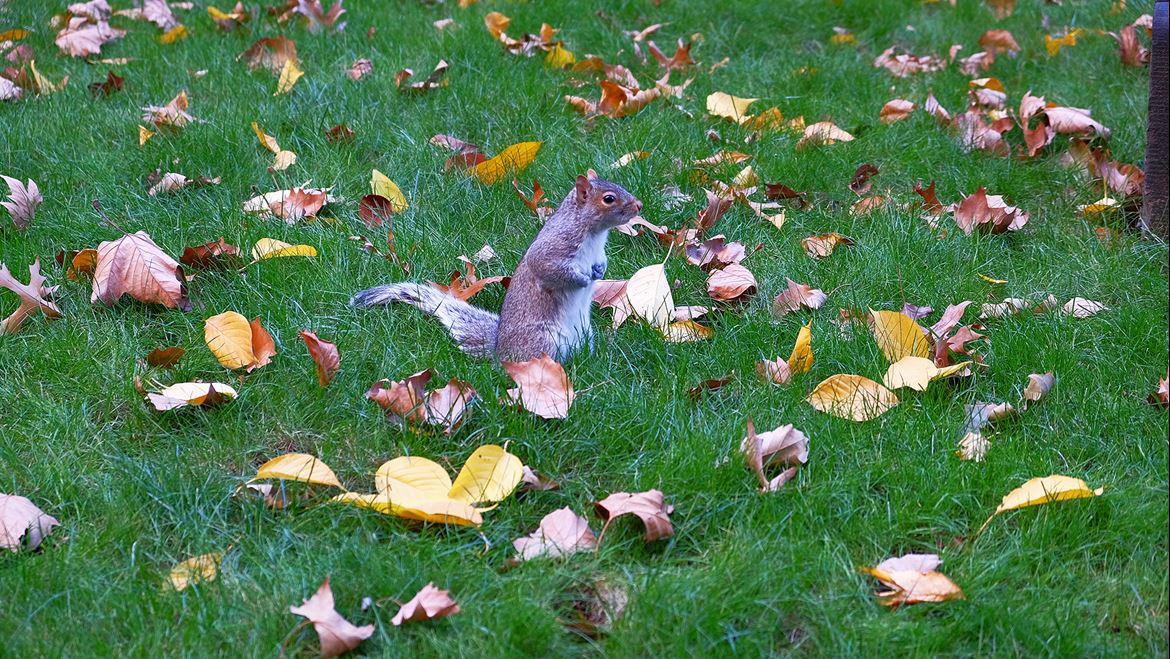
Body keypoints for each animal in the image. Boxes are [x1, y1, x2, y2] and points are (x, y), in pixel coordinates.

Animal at [348, 169, 641, 362]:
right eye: (609, 198)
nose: (638, 205)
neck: (593, 233)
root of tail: (500, 350)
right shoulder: (554, 247)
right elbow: (548, 269)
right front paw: (582, 279)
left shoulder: (597, 252)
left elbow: (601, 261)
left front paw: (599, 271)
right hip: (543, 341)